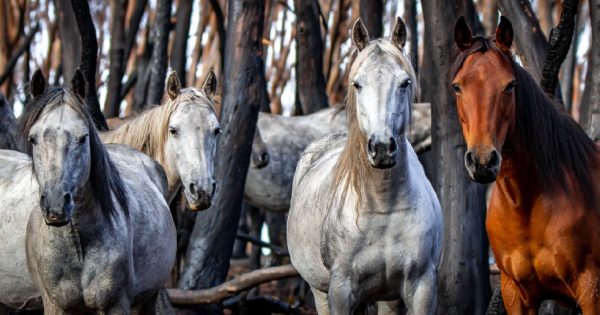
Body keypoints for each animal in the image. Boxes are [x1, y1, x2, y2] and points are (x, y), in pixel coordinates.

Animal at [288, 18, 442, 314]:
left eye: (405, 82)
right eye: (357, 84)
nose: (381, 147)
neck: (383, 207)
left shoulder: (422, 287)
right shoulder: (340, 289)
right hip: (320, 291)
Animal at [452, 16, 600, 314]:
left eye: (509, 86)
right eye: (457, 87)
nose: (483, 161)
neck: (527, 206)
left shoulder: (590, 289)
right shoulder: (515, 293)